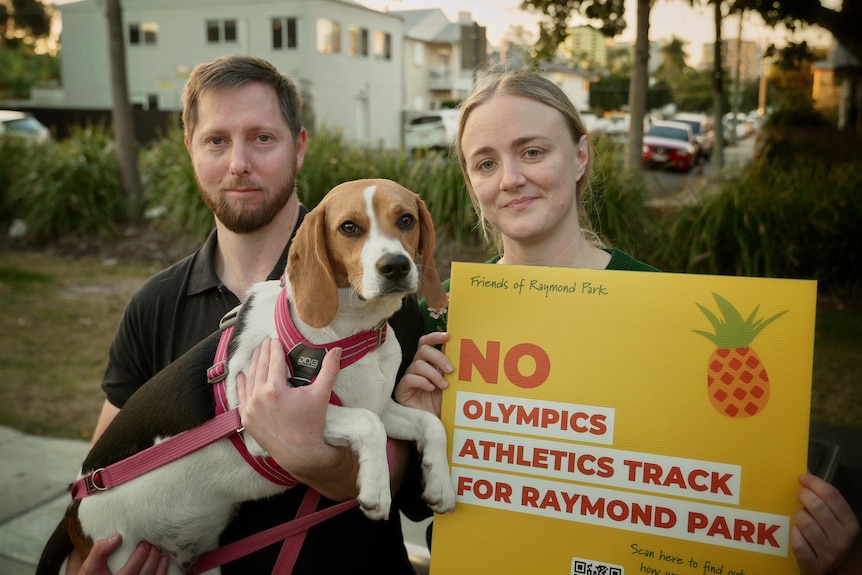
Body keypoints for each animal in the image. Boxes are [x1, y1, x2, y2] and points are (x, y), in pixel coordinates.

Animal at [38, 180, 460, 575]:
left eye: (406, 220)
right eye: (349, 227)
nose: (396, 266)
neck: (349, 333)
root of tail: (73, 509)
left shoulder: (379, 404)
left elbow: (429, 424)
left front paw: (440, 484)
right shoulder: (270, 420)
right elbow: (369, 424)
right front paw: (376, 490)